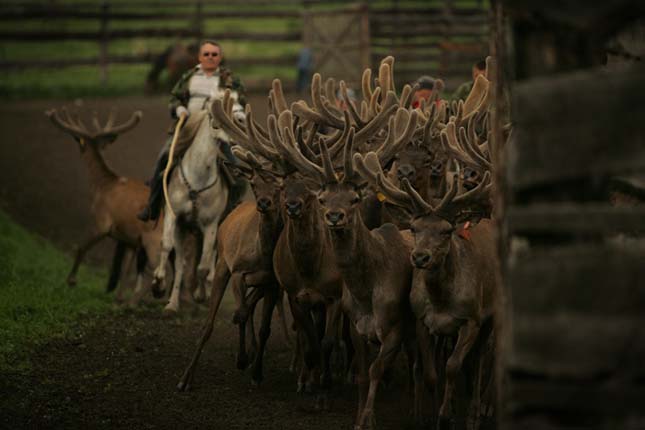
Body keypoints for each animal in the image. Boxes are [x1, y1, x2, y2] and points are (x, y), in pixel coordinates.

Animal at [45, 107, 165, 302]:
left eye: (80, 142)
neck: (102, 186)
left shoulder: (101, 222)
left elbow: (81, 247)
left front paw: (71, 281)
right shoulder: (130, 238)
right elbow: (126, 268)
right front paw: (118, 297)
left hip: (154, 239)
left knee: (159, 270)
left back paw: (140, 299)